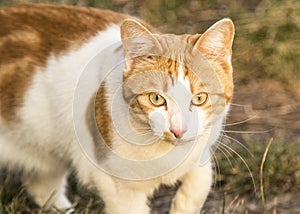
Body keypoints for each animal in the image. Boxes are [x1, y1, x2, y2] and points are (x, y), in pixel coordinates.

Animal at [0, 3, 234, 214]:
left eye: (200, 98)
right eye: (156, 99)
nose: (178, 130)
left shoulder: (202, 147)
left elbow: (200, 183)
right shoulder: (116, 185)